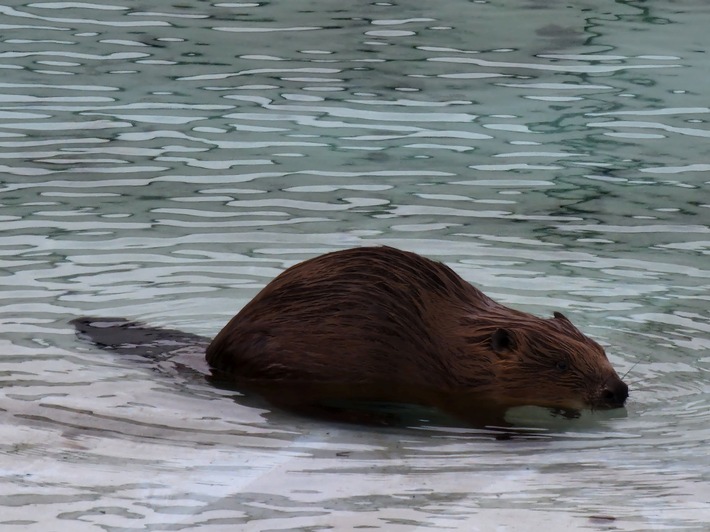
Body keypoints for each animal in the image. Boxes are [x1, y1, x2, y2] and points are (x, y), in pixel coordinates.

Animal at [206, 243, 628, 414]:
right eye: (560, 365)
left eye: (602, 350)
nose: (618, 391)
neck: (460, 348)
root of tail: (213, 352)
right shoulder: (457, 389)